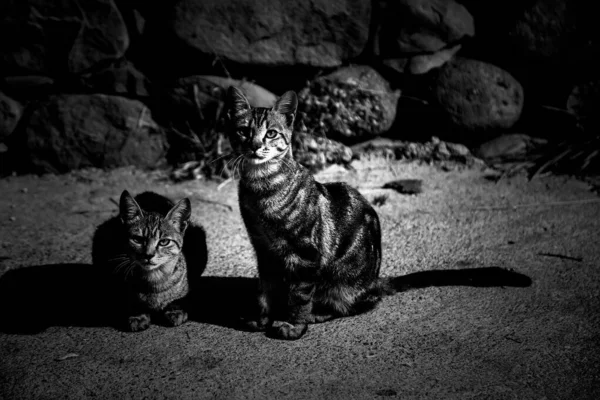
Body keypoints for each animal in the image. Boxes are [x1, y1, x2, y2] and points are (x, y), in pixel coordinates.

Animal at [91, 191, 207, 332]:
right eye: (137, 239)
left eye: (164, 242)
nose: (148, 255)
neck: (154, 277)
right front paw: (138, 315)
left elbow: (179, 298)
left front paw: (175, 310)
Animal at [225, 86, 390, 340]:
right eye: (243, 131)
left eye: (271, 133)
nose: (254, 145)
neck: (261, 189)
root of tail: (376, 281)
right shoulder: (264, 251)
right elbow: (265, 292)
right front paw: (262, 318)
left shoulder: (304, 253)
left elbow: (299, 297)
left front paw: (295, 326)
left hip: (343, 283)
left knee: (355, 304)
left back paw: (318, 312)